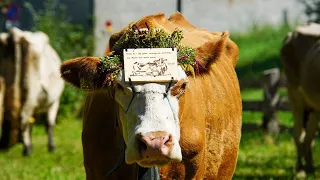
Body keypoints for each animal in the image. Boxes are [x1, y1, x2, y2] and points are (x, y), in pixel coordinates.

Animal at [0, 27, 64, 156]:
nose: (3, 145)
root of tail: (16, 34)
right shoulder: (55, 101)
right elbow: (49, 123)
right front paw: (51, 147)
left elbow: (32, 123)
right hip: (31, 91)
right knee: (24, 118)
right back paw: (27, 149)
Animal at [280, 22, 320, 176]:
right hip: (295, 96)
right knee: (298, 134)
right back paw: (301, 168)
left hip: (313, 108)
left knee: (309, 136)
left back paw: (310, 166)